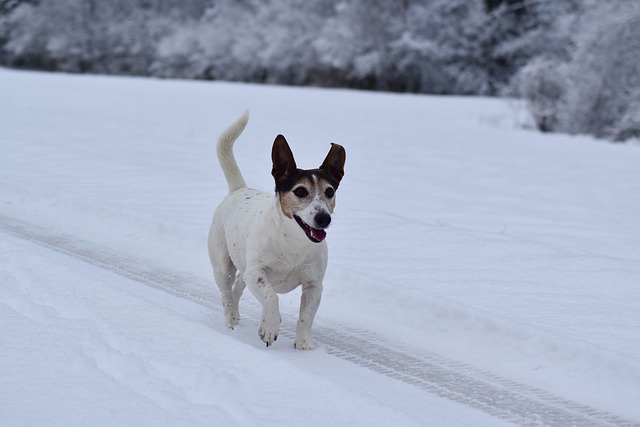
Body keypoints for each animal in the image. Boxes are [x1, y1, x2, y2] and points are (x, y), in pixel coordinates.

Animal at [208, 112, 344, 350]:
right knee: (226, 293)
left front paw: (304, 344)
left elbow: (306, 317)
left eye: (329, 191)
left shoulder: (313, 285)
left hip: (244, 269)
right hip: (223, 265)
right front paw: (269, 327)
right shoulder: (257, 273)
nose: (323, 218)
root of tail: (239, 189)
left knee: (238, 285)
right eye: (300, 191)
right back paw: (231, 319)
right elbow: (271, 297)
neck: (293, 241)